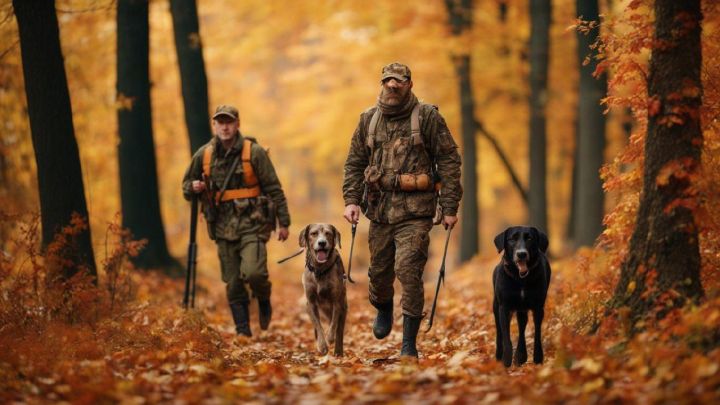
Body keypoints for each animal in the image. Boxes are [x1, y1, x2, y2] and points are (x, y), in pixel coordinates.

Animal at [298, 223, 348, 356]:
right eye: (314, 233)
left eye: (328, 233)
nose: (322, 243)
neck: (320, 270)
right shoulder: (311, 303)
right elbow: (317, 324)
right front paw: (322, 345)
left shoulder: (336, 302)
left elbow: (334, 324)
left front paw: (329, 338)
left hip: (343, 306)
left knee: (339, 329)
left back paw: (338, 351)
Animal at [490, 226, 552, 368]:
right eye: (512, 239)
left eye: (529, 238)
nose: (521, 254)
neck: (520, 279)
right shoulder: (504, 307)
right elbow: (506, 337)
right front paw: (506, 360)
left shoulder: (538, 307)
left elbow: (537, 333)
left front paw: (538, 358)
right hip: (496, 307)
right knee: (499, 332)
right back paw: (499, 356)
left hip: (521, 309)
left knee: (522, 325)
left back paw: (521, 355)